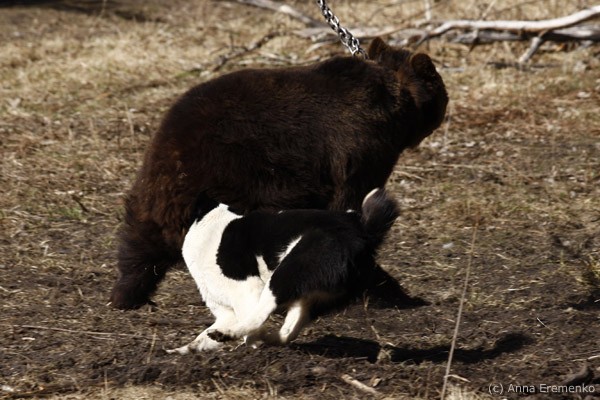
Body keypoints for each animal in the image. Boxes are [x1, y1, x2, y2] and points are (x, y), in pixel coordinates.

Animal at [111, 37, 447, 310]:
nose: (445, 102)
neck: (395, 107)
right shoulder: (360, 152)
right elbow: (353, 209)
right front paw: (388, 289)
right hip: (242, 177)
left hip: (156, 186)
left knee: (138, 243)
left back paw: (127, 295)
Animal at [167, 188, 399, 354]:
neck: (211, 226)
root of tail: (362, 231)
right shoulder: (225, 311)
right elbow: (202, 337)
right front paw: (181, 350)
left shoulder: (247, 288)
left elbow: (252, 323)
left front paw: (247, 342)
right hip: (311, 296)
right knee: (289, 331)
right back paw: (268, 340)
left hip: (286, 274)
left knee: (260, 317)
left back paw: (232, 335)